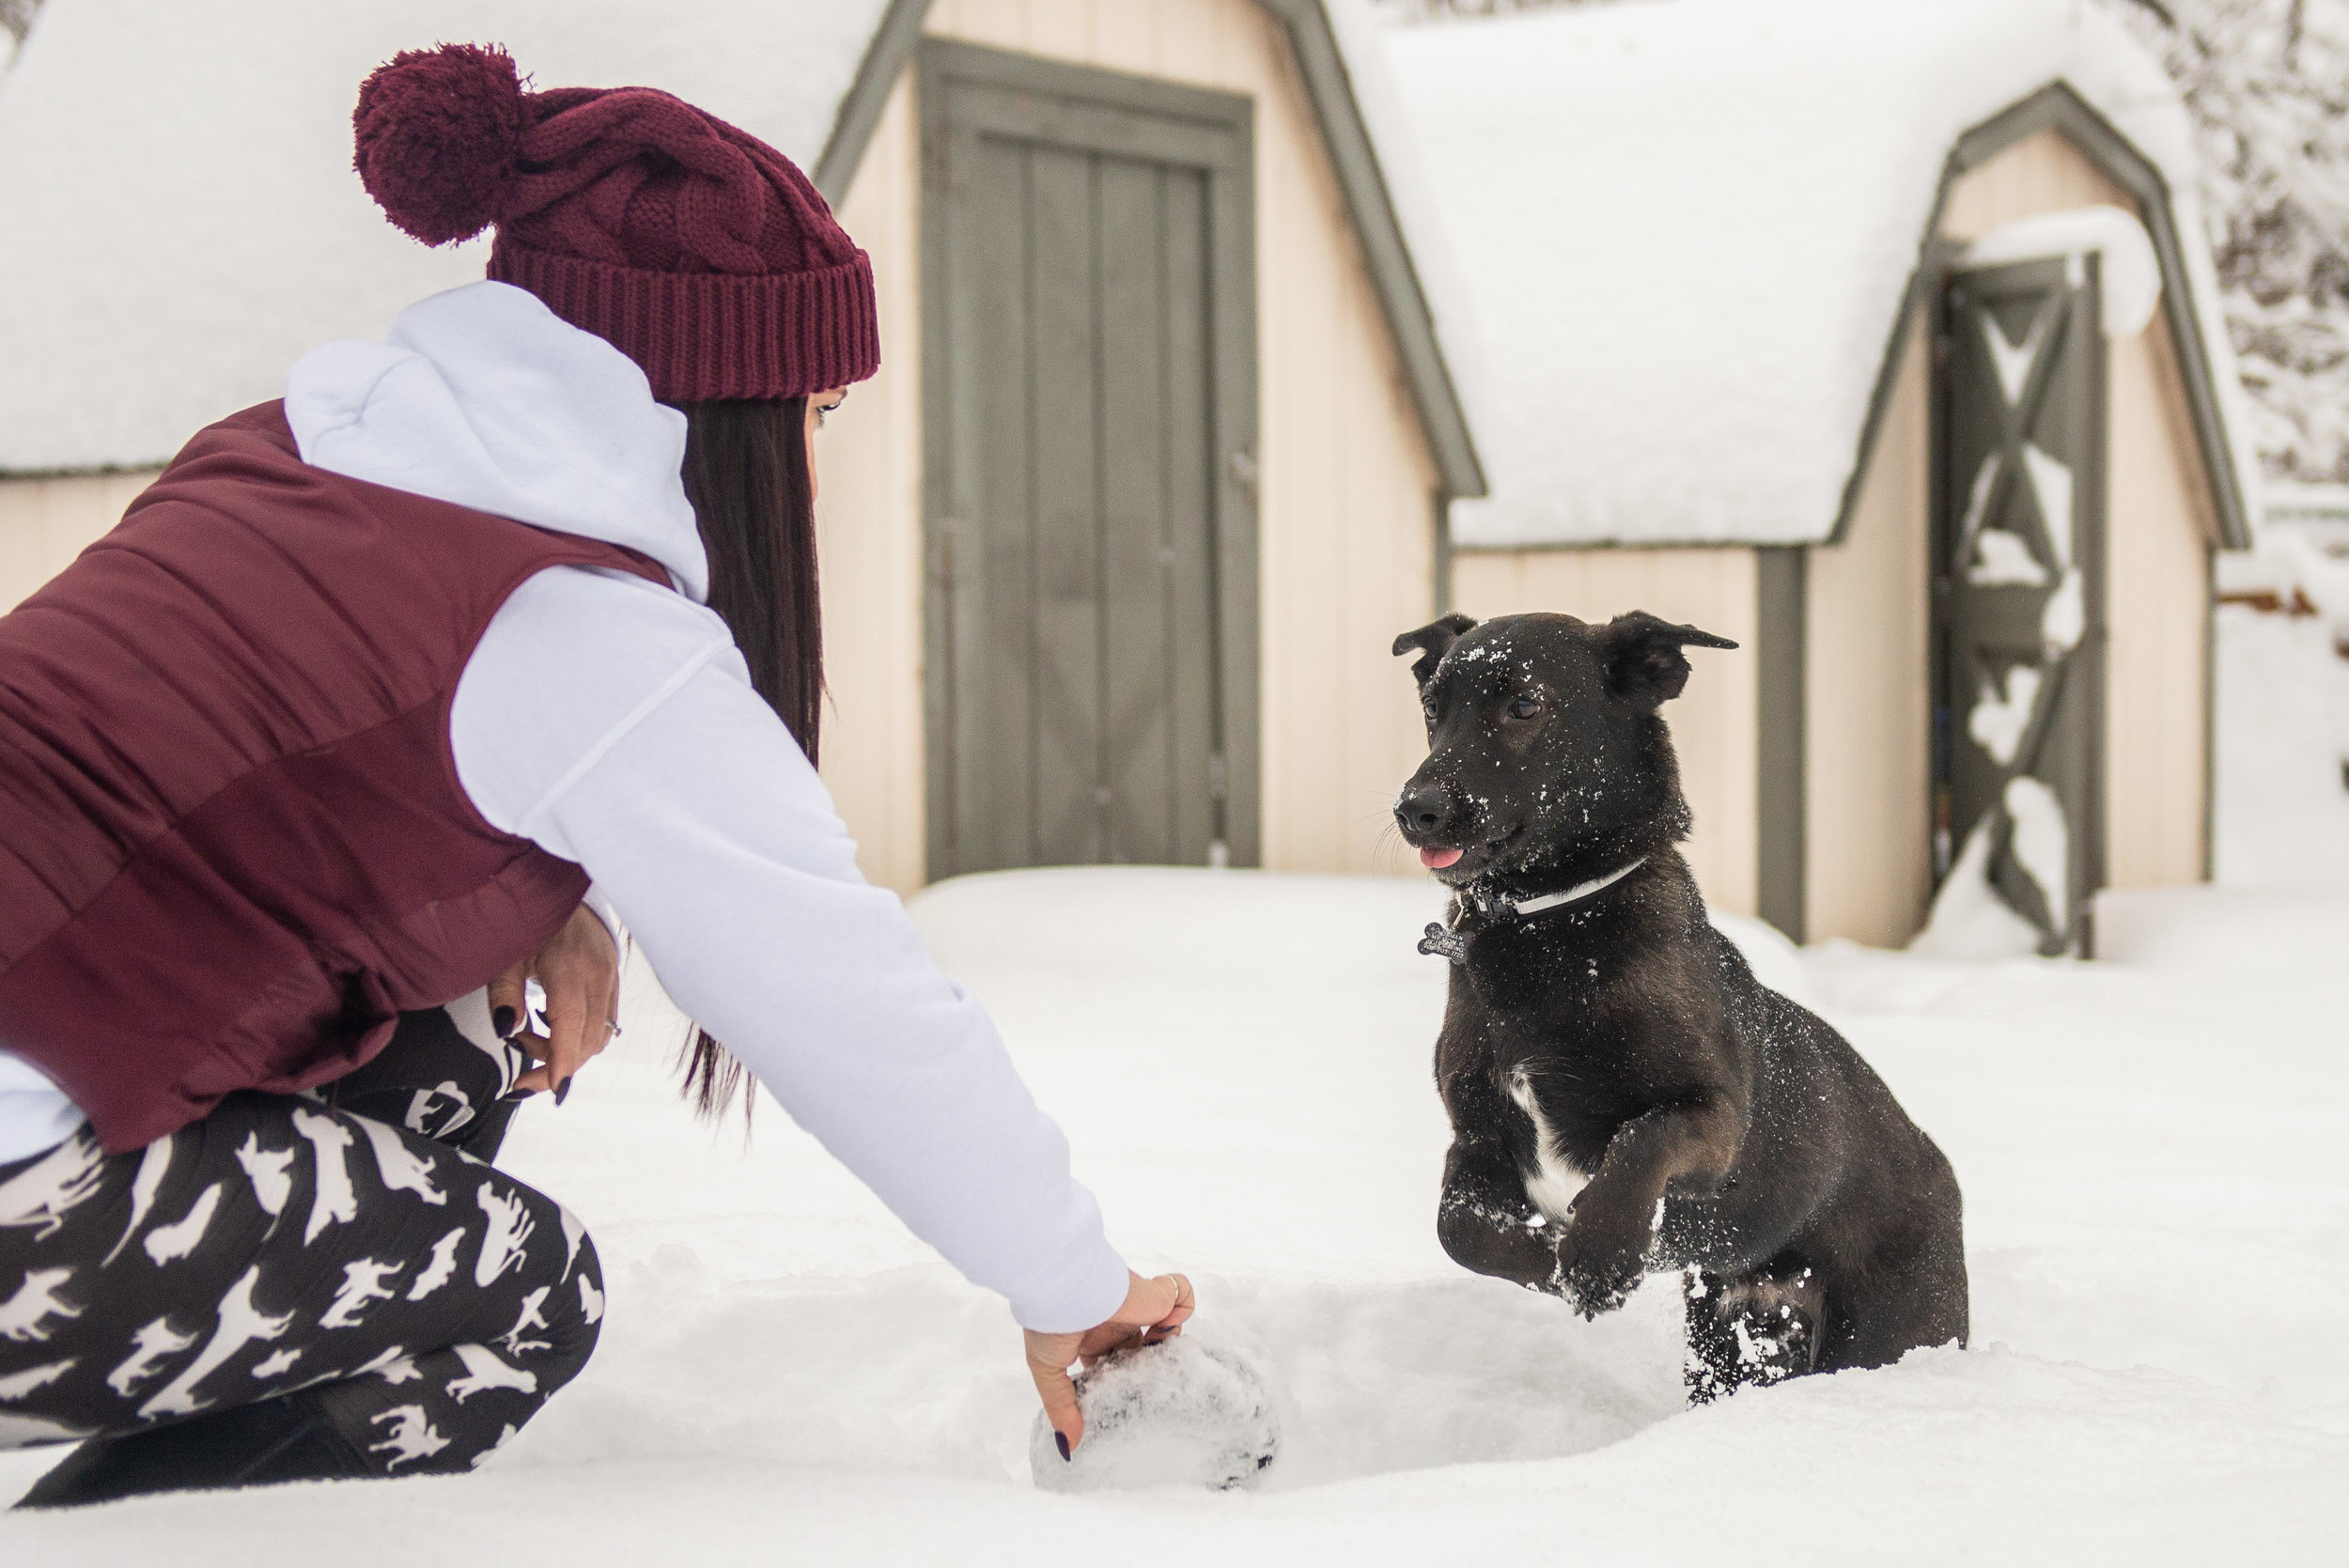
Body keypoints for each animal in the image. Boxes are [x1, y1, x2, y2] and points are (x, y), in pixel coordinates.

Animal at [1391, 605, 1964, 1399]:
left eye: (1525, 705)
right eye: (1431, 707)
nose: (1415, 809)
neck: (1550, 927)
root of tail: (1942, 1173)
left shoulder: (1714, 1116)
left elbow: (1643, 1137)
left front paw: (1602, 1253)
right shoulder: (1477, 1136)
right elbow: (1460, 1230)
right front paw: (1558, 1260)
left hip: (1883, 1333)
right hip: (1730, 1339)